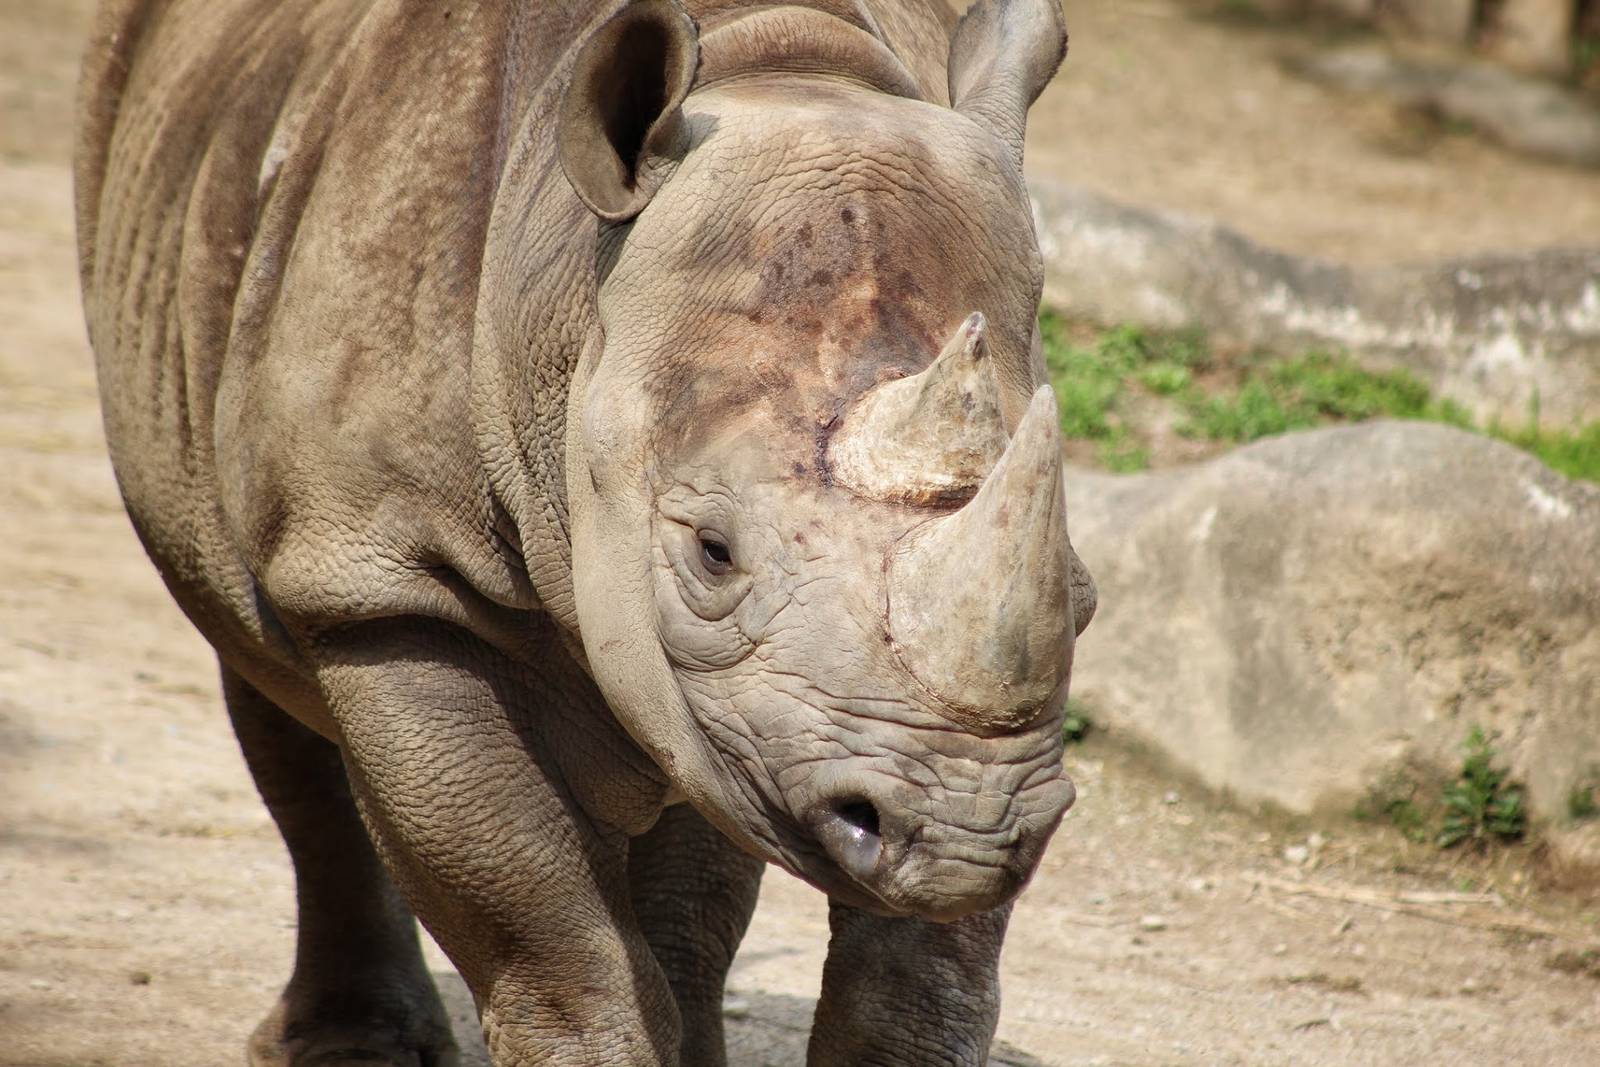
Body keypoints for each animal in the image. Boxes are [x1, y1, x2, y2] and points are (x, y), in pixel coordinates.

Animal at [76, 0, 1095, 1062]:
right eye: (711, 554)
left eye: (1081, 593)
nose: (967, 826)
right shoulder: (390, 580)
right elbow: (559, 947)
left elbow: (919, 977)